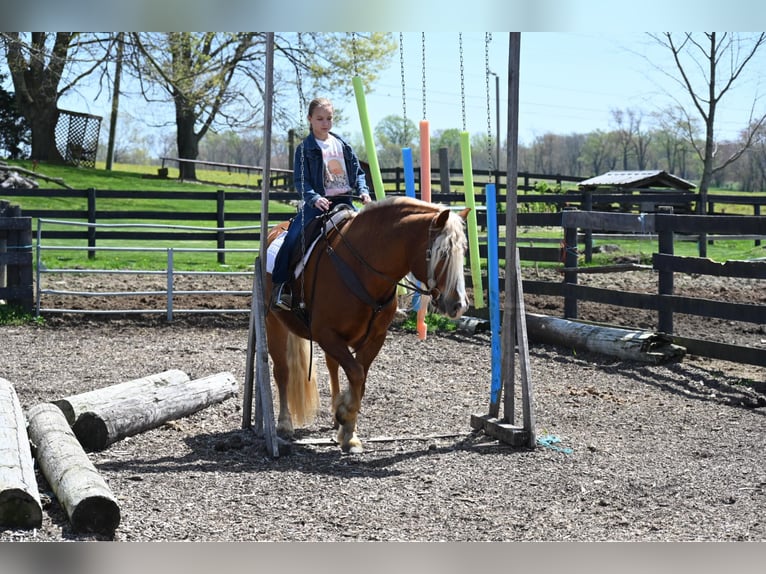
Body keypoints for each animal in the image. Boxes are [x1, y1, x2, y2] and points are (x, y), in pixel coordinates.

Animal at [264, 197, 472, 454]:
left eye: (463, 251)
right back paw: (284, 423)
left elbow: (360, 379)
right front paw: (345, 418)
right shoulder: (326, 334)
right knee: (282, 371)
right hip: (274, 322)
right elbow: (355, 373)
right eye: (441, 252)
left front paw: (348, 429)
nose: (459, 305)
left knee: (332, 366)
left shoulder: (374, 338)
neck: (362, 268)